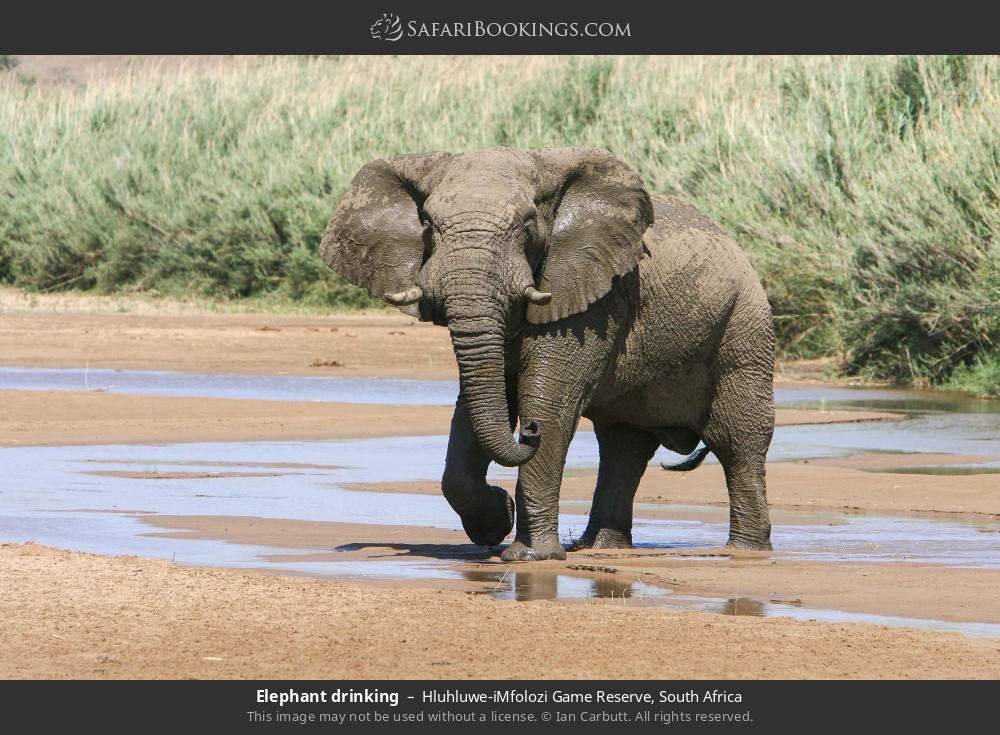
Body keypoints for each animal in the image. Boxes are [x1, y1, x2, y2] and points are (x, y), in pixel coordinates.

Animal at [321, 147, 775, 560]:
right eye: (428, 226)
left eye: (525, 226)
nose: (529, 431)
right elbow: (478, 405)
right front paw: (496, 523)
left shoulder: (594, 295)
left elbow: (550, 404)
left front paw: (530, 556)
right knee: (624, 447)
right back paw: (602, 549)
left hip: (744, 327)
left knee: (738, 440)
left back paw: (745, 552)